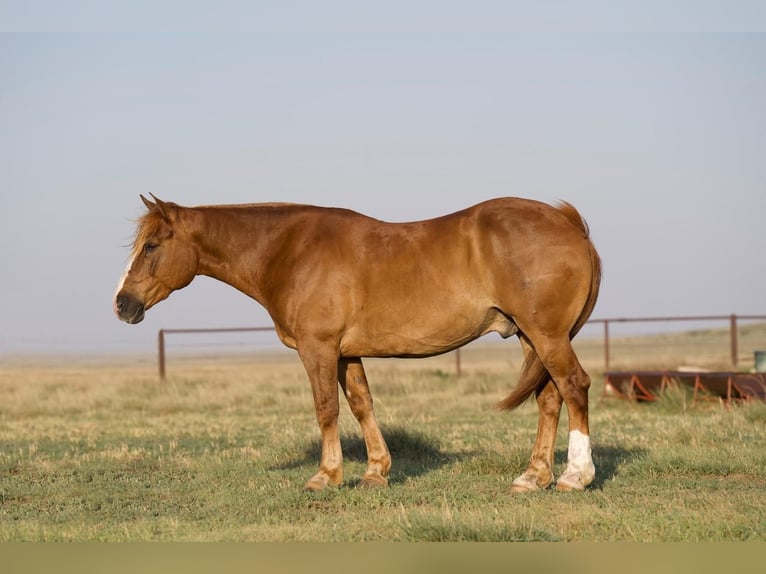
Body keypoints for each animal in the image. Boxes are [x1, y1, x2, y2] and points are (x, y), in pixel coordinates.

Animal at [117, 196, 604, 492]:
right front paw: (375, 472)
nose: (123, 304)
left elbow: (326, 409)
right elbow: (361, 404)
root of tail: (569, 224)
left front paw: (326, 475)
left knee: (574, 387)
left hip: (545, 336)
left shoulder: (318, 348)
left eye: (152, 246)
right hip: (530, 338)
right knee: (549, 398)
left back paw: (575, 476)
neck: (288, 251)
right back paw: (532, 477)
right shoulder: (346, 352)